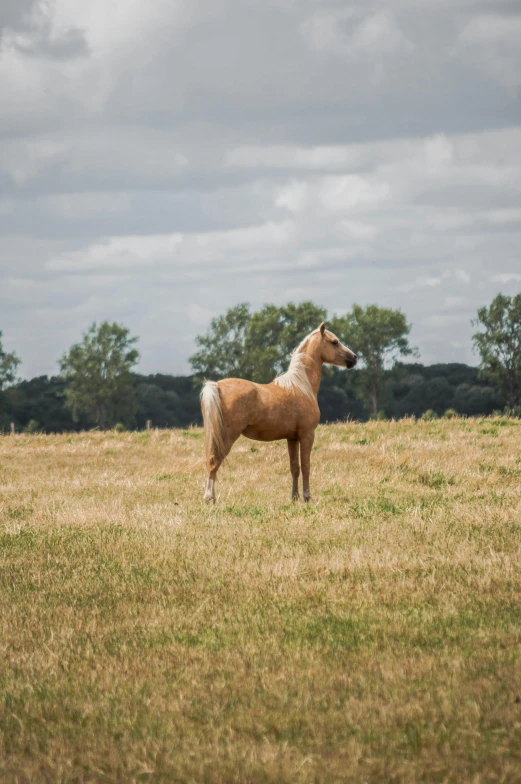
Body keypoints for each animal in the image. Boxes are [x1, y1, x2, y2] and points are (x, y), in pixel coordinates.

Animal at [200, 324, 358, 502]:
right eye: (334, 342)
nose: (354, 358)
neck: (301, 386)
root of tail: (217, 385)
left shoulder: (292, 438)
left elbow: (295, 467)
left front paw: (294, 497)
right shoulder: (307, 435)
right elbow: (306, 466)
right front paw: (306, 497)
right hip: (227, 436)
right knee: (214, 462)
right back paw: (209, 498)